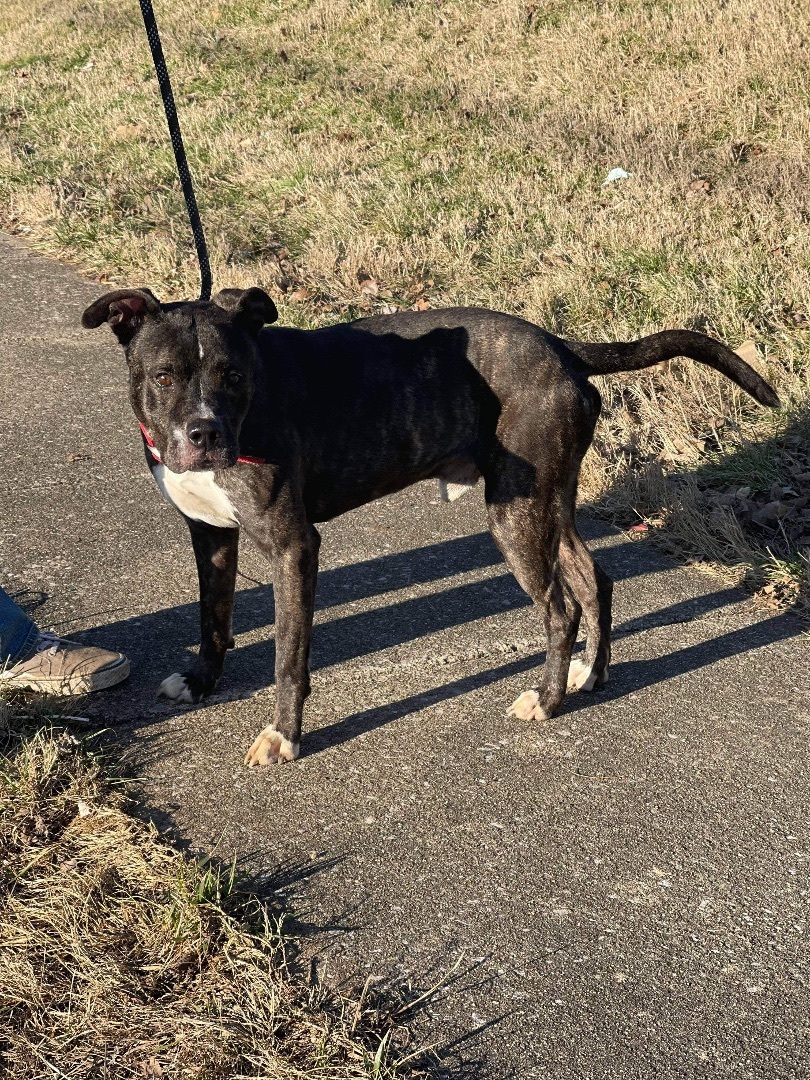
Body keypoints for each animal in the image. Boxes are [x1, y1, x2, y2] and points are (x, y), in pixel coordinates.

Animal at [81, 285, 781, 760]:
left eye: (233, 374)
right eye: (164, 375)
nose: (205, 434)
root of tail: (560, 346)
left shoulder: (291, 546)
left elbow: (288, 654)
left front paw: (284, 736)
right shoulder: (210, 534)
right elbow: (214, 618)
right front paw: (202, 681)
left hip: (515, 516)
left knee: (559, 609)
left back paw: (548, 699)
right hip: (546, 504)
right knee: (595, 580)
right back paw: (590, 674)